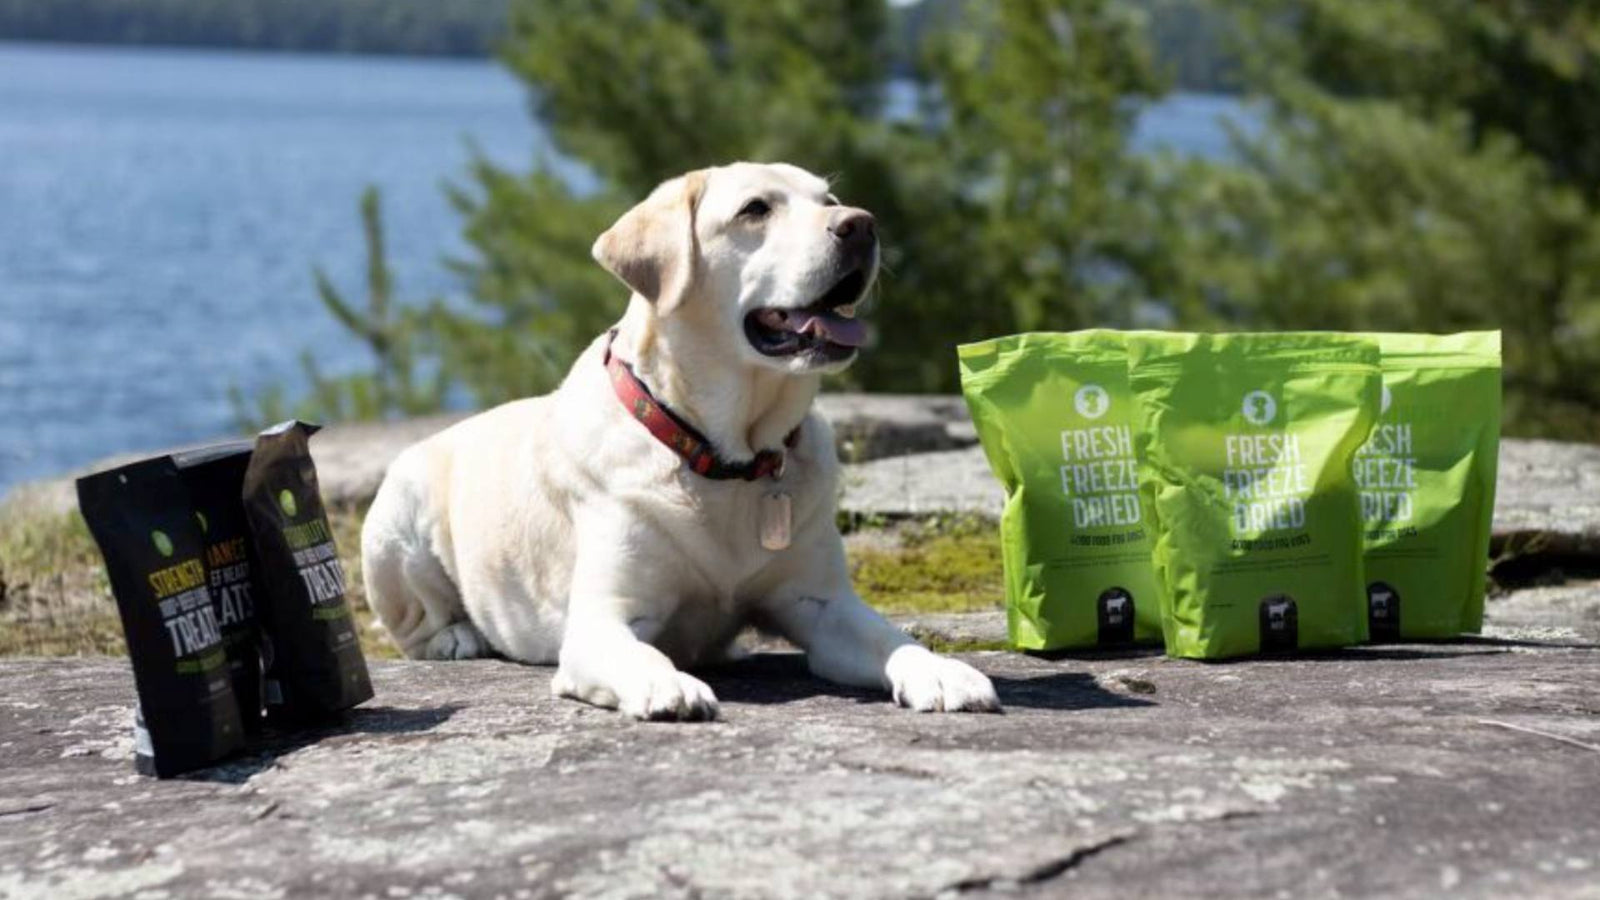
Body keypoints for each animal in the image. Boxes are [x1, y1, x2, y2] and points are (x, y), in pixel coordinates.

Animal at [360, 160, 998, 717]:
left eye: (831, 200)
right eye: (755, 209)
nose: (862, 225)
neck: (726, 455)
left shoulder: (822, 604)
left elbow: (892, 638)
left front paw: (943, 671)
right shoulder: (602, 621)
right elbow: (635, 653)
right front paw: (666, 685)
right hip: (396, 523)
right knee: (414, 623)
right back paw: (457, 637)